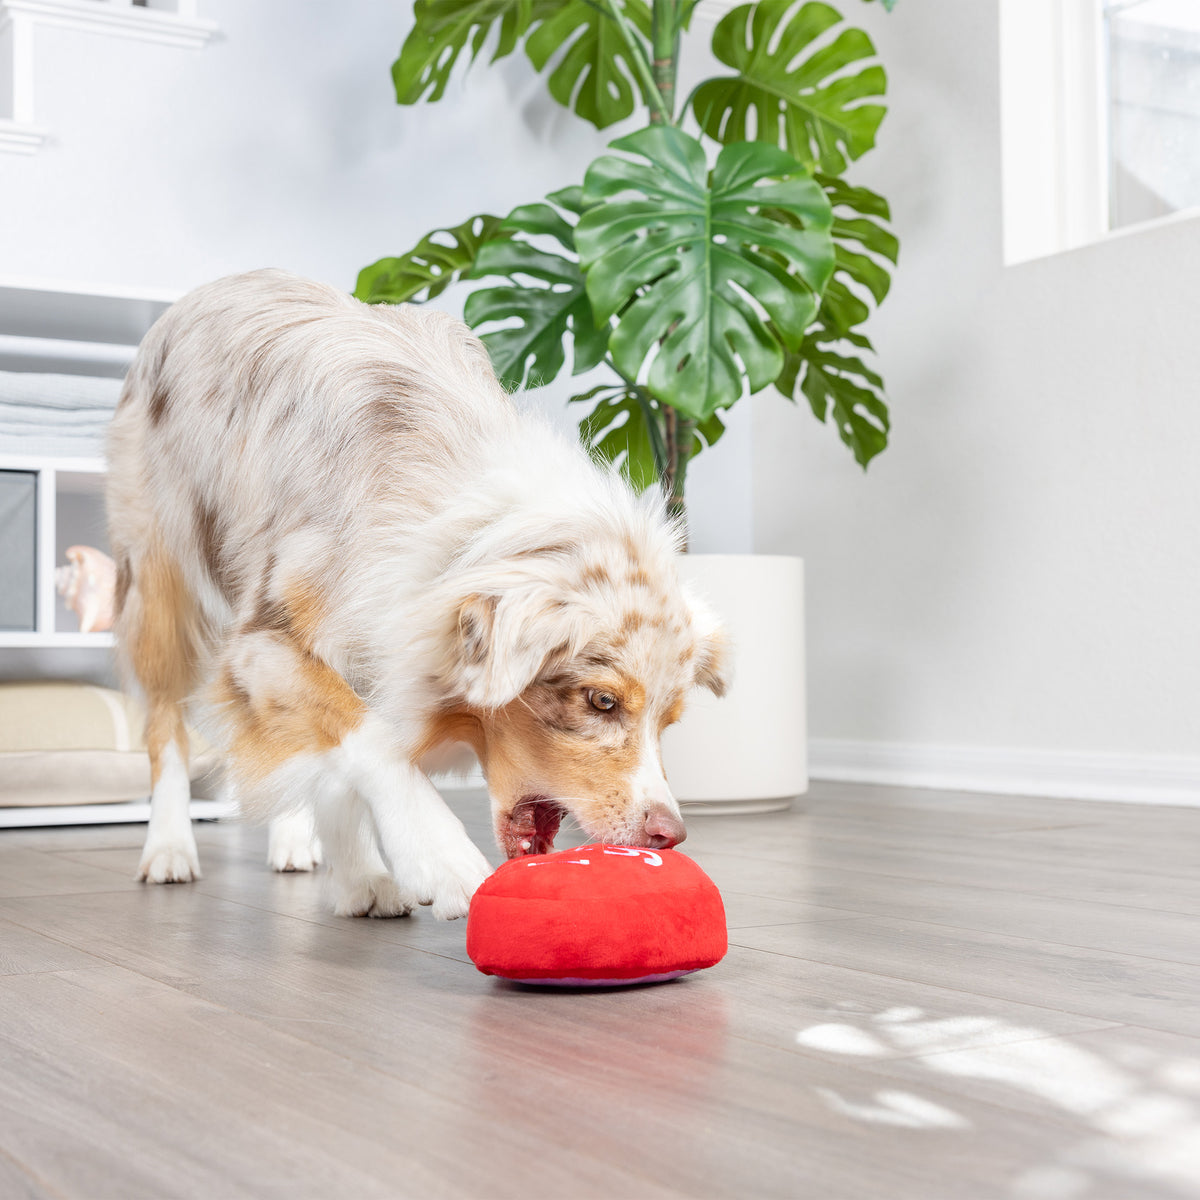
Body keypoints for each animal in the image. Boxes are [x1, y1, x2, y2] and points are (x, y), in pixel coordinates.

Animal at [110, 272, 729, 916]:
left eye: (670, 721)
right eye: (601, 701)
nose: (670, 833)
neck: (467, 525)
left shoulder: (378, 634)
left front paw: (362, 876)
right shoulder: (262, 641)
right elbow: (370, 735)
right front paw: (440, 859)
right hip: (162, 584)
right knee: (165, 726)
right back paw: (169, 850)